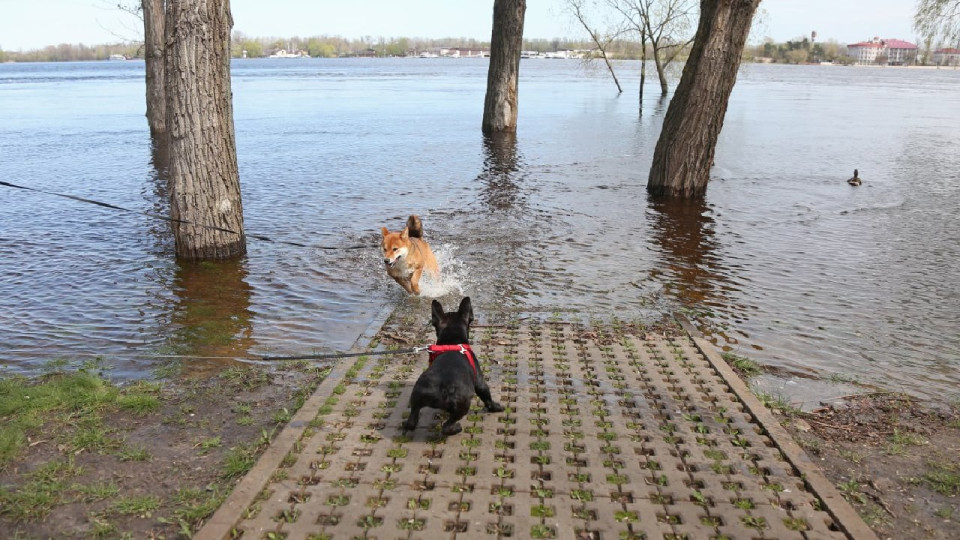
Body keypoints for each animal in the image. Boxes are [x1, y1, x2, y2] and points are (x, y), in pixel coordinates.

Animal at [404, 298, 506, 436]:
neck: (452, 342)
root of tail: (442, 389)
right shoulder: (480, 382)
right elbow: (487, 397)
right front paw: (496, 407)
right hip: (463, 404)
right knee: (446, 426)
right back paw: (456, 428)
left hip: (417, 396)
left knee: (412, 420)